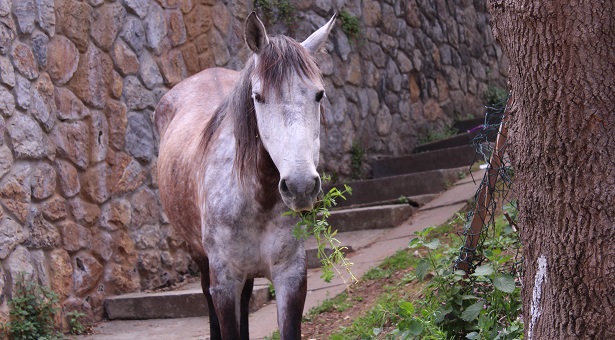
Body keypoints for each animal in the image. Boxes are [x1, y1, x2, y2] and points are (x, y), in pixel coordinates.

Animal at [154, 11, 336, 338]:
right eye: (258, 96)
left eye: (319, 94)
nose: (300, 186)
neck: (255, 198)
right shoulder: (224, 284)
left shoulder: (291, 277)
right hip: (200, 258)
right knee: (207, 296)